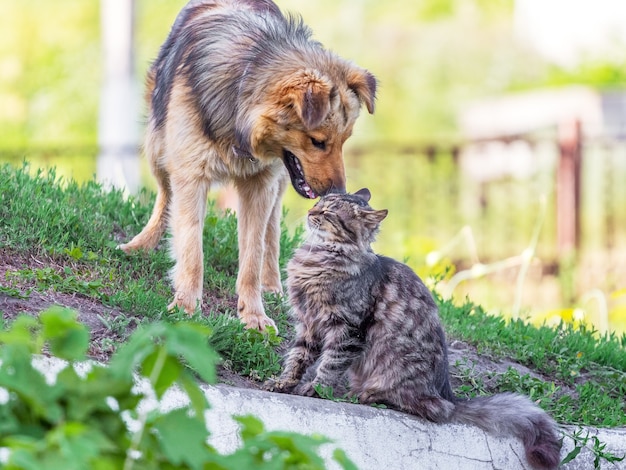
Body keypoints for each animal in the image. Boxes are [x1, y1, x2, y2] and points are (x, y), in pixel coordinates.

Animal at [120, 0, 378, 330]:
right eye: (318, 141)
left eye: (344, 140)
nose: (338, 191)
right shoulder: (191, 175)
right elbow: (192, 249)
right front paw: (186, 306)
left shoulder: (260, 185)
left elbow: (253, 255)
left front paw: (253, 315)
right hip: (158, 147)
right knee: (165, 197)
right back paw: (141, 244)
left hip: (276, 183)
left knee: (271, 233)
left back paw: (272, 285)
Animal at [264, 188, 560, 470]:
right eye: (319, 204)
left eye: (329, 212)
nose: (311, 210)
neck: (318, 259)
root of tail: (448, 394)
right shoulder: (308, 325)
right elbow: (296, 359)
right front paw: (283, 382)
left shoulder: (347, 328)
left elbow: (329, 365)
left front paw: (315, 389)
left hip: (400, 366)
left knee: (432, 409)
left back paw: (367, 395)